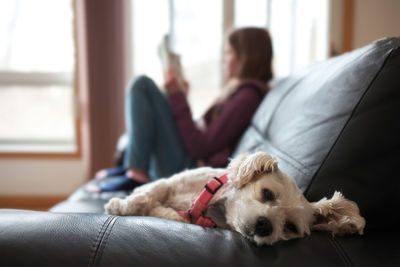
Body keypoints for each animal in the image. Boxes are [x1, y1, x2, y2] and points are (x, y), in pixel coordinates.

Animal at [105, 153, 366, 247]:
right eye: (267, 193)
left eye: (291, 227)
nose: (266, 226)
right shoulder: (170, 183)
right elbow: (148, 193)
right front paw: (120, 205)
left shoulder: (188, 217)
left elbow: (168, 213)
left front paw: (160, 211)